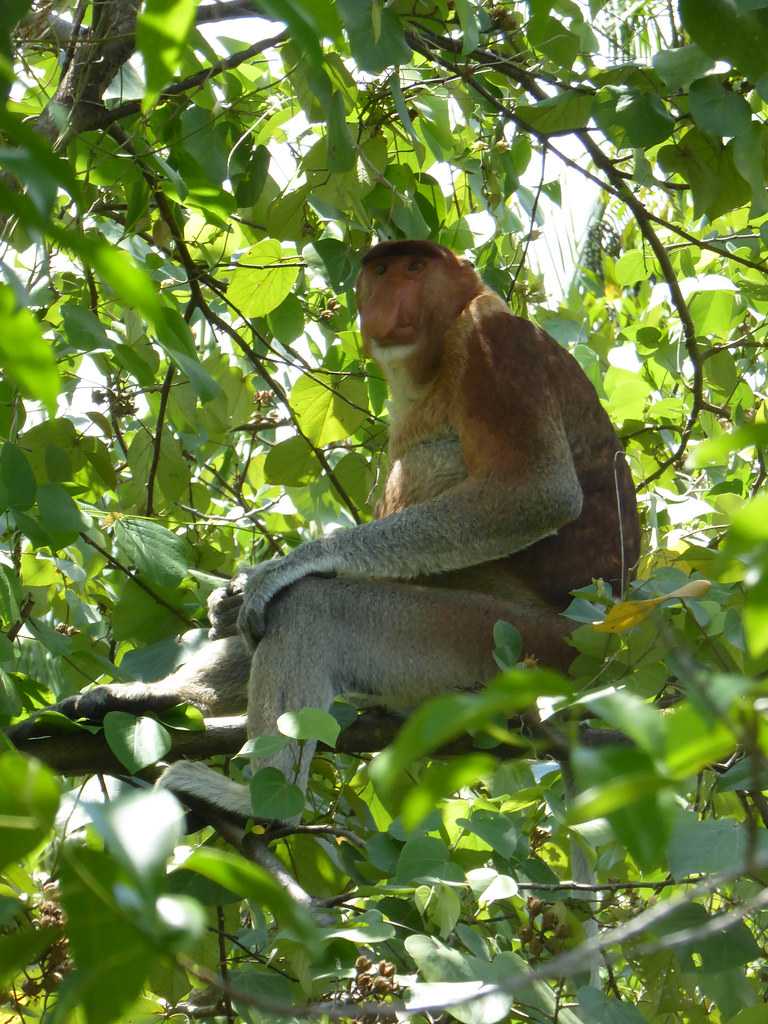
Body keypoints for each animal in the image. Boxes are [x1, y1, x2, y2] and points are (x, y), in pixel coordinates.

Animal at [9, 237, 638, 815]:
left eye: (416, 268)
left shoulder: (493, 339)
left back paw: (260, 802)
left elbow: (538, 491)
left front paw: (281, 568)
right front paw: (230, 601)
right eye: (381, 272)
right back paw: (147, 701)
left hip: (516, 647)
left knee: (314, 609)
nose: (386, 304)